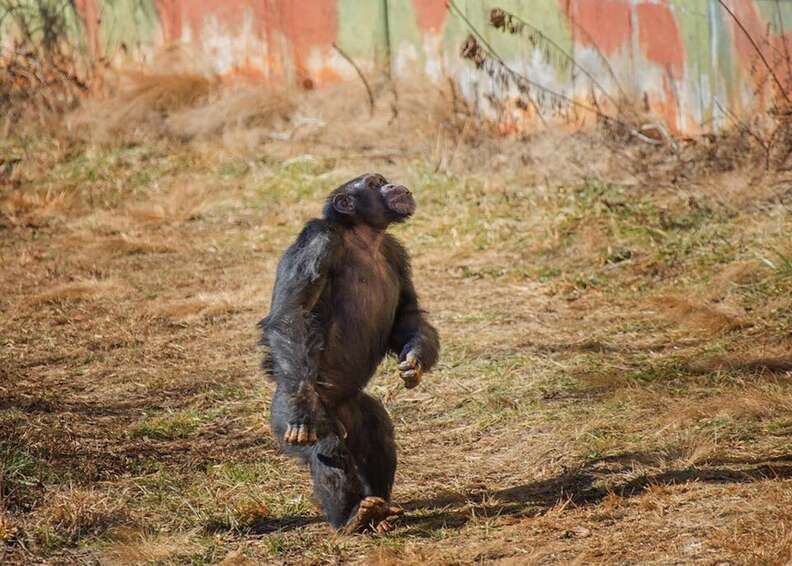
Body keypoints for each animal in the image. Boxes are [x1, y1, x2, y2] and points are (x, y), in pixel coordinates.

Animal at [262, 173, 442, 536]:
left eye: (382, 180)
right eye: (373, 183)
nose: (393, 184)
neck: (364, 237)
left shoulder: (397, 252)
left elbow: (407, 315)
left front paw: (413, 362)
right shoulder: (317, 243)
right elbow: (292, 315)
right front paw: (301, 409)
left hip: (354, 410)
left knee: (375, 433)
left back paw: (380, 509)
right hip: (290, 413)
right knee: (327, 448)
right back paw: (351, 516)